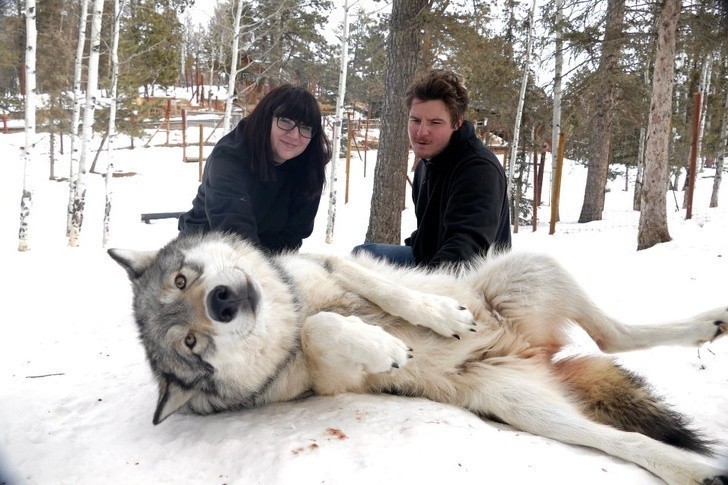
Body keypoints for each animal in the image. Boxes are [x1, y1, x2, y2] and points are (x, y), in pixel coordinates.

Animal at [108, 232, 728, 484]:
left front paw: (440, 316)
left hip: (534, 268)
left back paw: (709, 324)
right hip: (525, 411)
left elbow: (370, 286)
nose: (223, 301)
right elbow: (320, 328)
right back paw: (700, 472)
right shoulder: (330, 377)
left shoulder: (330, 261)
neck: (288, 306)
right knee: (622, 435)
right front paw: (385, 347)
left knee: (614, 336)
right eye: (191, 344)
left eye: (183, 280)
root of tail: (533, 352)